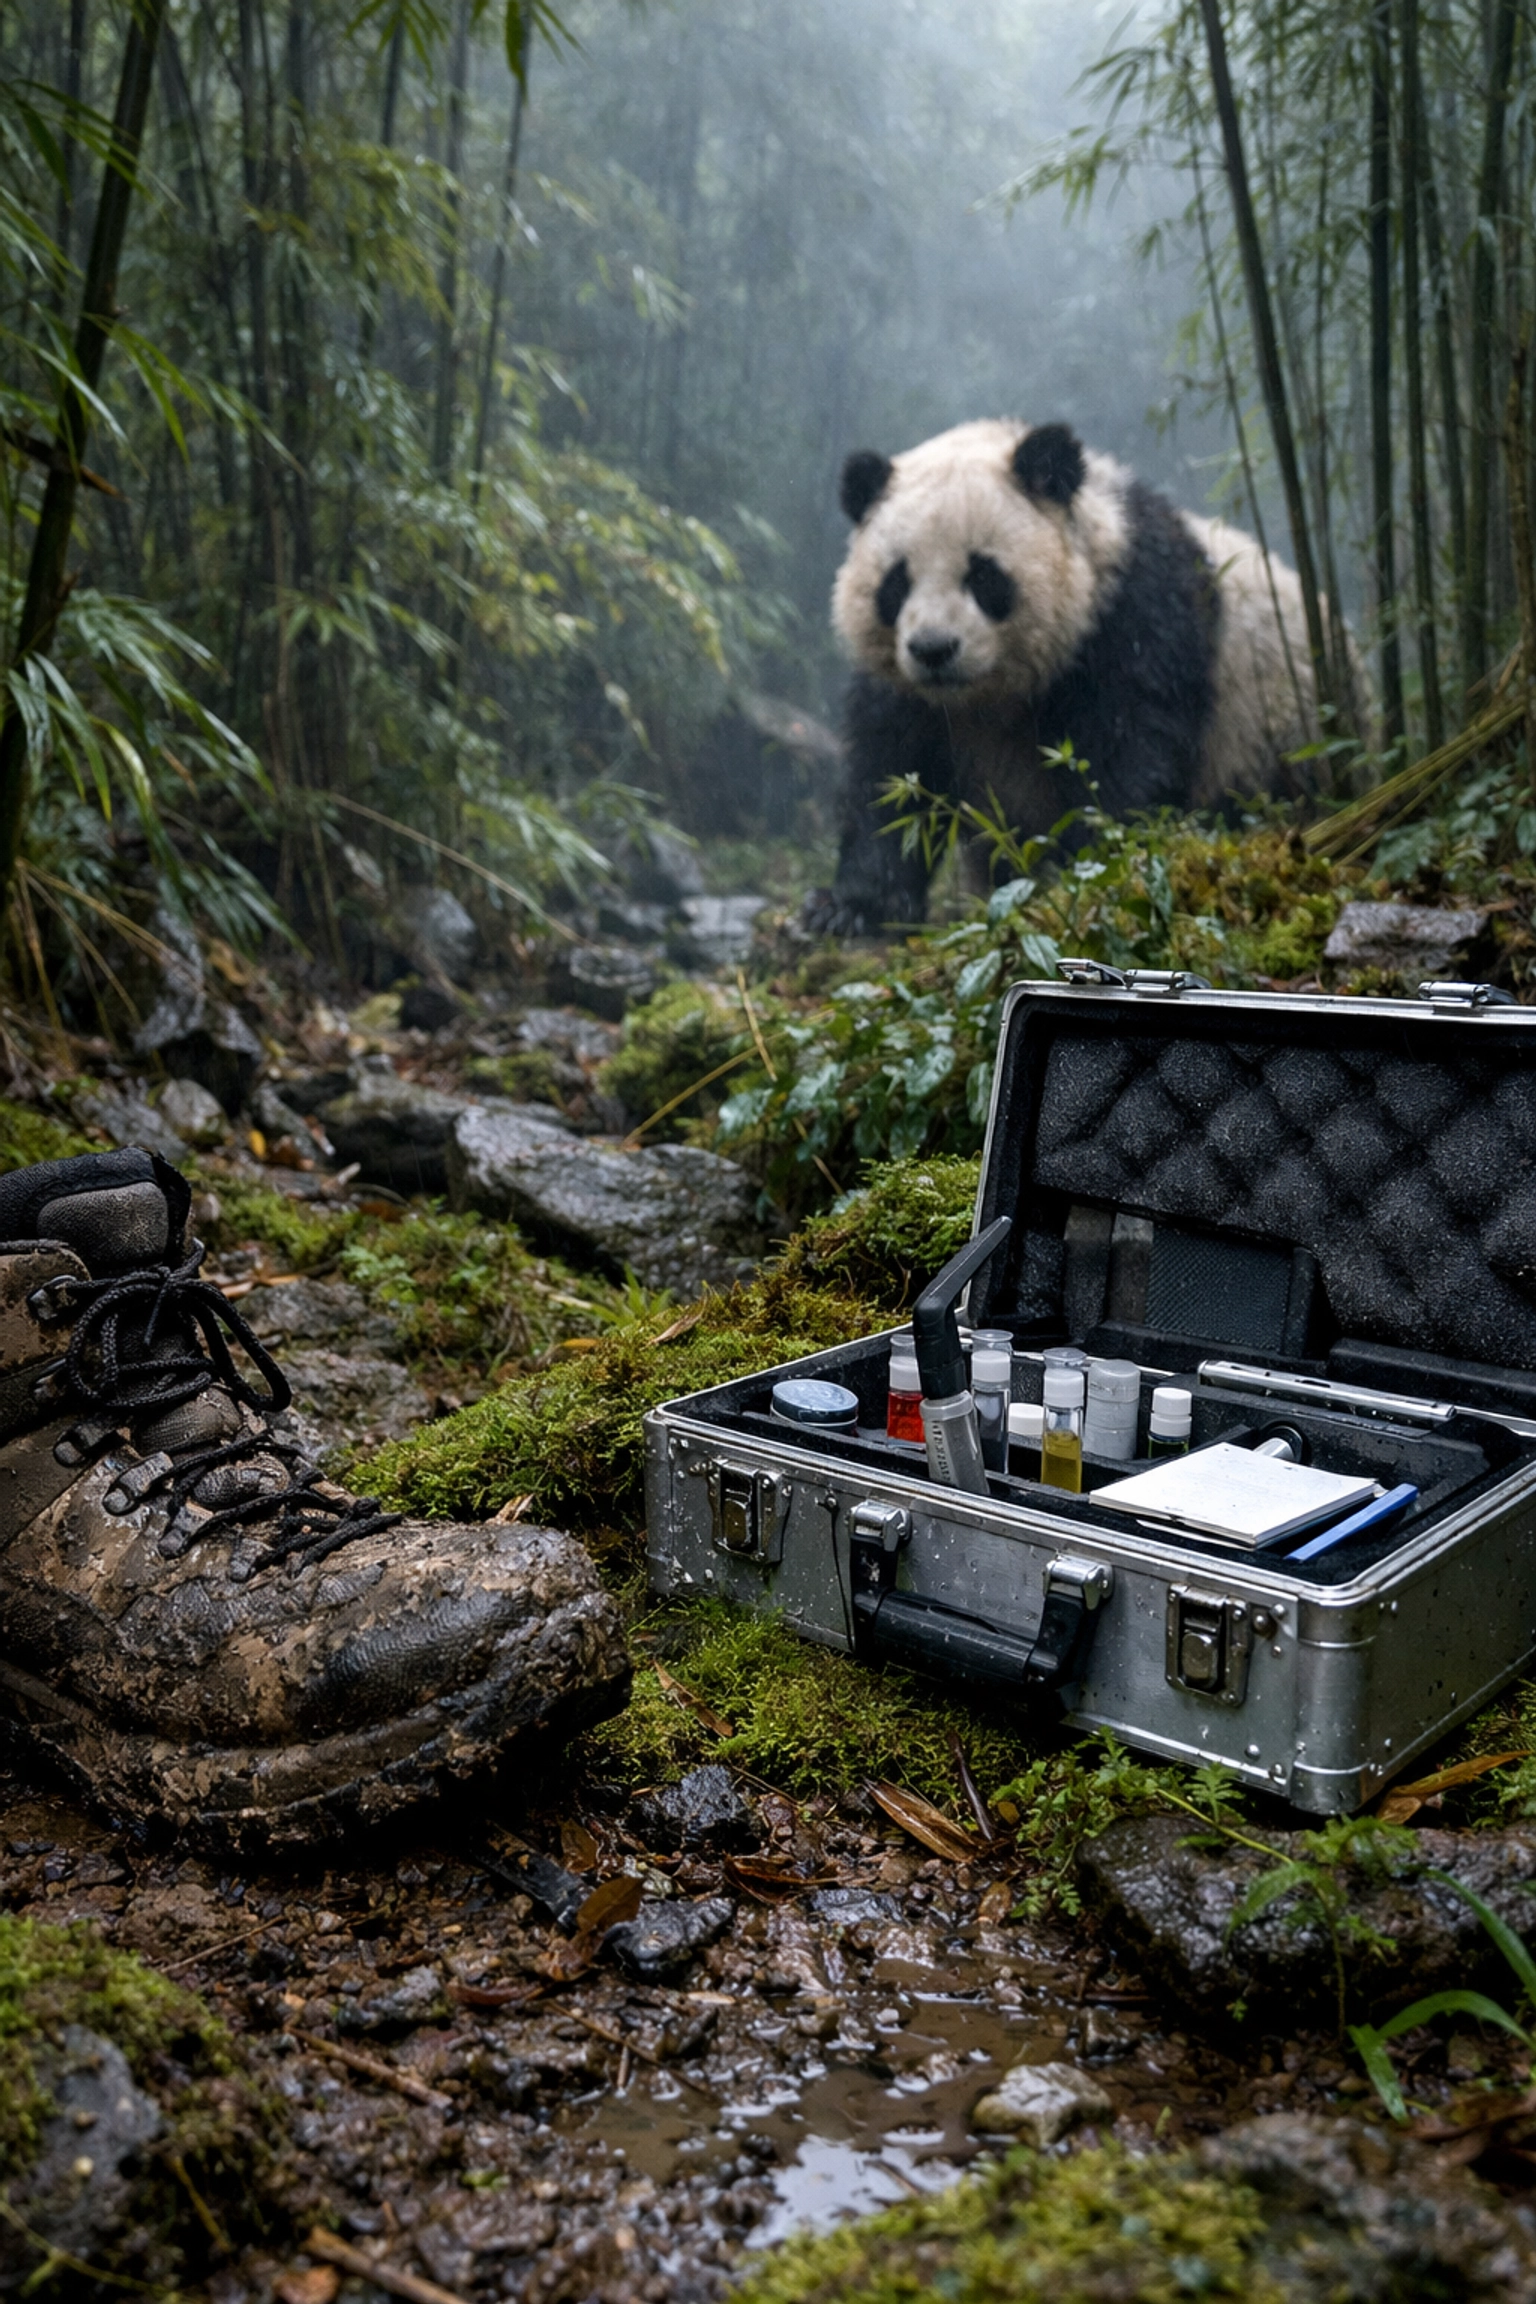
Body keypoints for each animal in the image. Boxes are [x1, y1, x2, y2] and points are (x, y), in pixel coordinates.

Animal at [816, 417, 1342, 934]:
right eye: (896, 583)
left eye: (983, 576)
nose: (933, 649)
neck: (988, 694)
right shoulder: (907, 691)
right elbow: (891, 780)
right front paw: (851, 909)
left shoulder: (1134, 614)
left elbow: (1127, 748)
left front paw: (1096, 865)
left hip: (1276, 737)